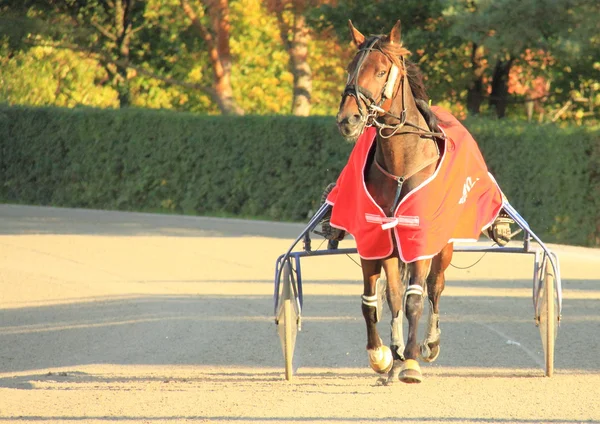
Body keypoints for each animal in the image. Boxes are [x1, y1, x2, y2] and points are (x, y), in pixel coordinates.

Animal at [336, 19, 452, 384]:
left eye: (381, 70)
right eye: (350, 68)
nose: (348, 119)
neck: (401, 168)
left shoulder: (421, 239)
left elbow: (417, 298)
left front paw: (412, 362)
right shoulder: (374, 237)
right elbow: (372, 301)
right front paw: (382, 356)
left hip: (444, 248)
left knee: (435, 288)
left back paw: (429, 344)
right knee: (395, 294)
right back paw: (397, 351)